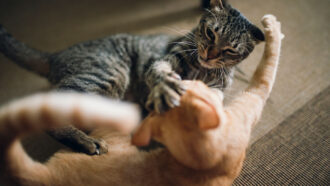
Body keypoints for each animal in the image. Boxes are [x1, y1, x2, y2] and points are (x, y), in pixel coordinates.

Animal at [0, 14, 284, 186]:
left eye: (230, 50)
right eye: (210, 34)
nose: (210, 55)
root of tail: (55, 56)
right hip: (107, 75)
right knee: (51, 108)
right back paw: (86, 141)